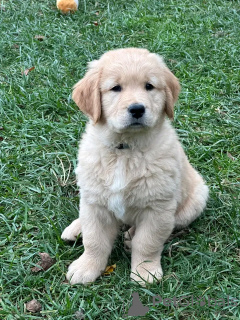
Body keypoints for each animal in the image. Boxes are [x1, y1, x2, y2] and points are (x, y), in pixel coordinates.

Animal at [61, 47, 208, 284]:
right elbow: (94, 240)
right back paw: (76, 228)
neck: (125, 150)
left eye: (149, 86)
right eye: (115, 88)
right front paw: (86, 267)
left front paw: (145, 271)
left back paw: (129, 236)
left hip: (195, 200)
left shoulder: (158, 207)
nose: (137, 109)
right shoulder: (96, 204)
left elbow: (147, 242)